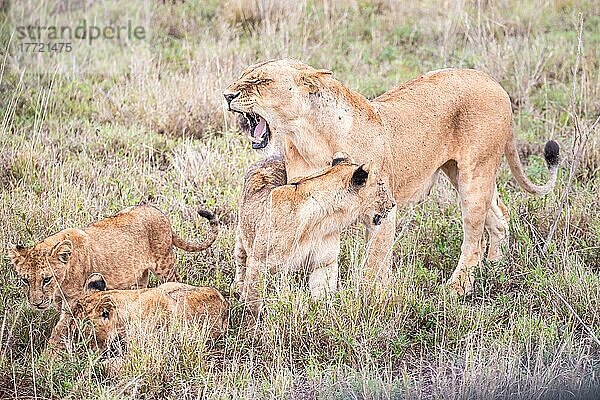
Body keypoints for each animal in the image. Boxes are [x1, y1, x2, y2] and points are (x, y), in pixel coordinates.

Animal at [223, 58, 560, 294]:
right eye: (244, 75)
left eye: (261, 81)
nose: (227, 95)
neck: (310, 136)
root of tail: (493, 82)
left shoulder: (382, 210)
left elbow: (373, 264)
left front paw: (365, 300)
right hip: (462, 174)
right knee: (499, 215)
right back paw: (496, 264)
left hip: (474, 174)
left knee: (472, 239)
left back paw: (457, 287)